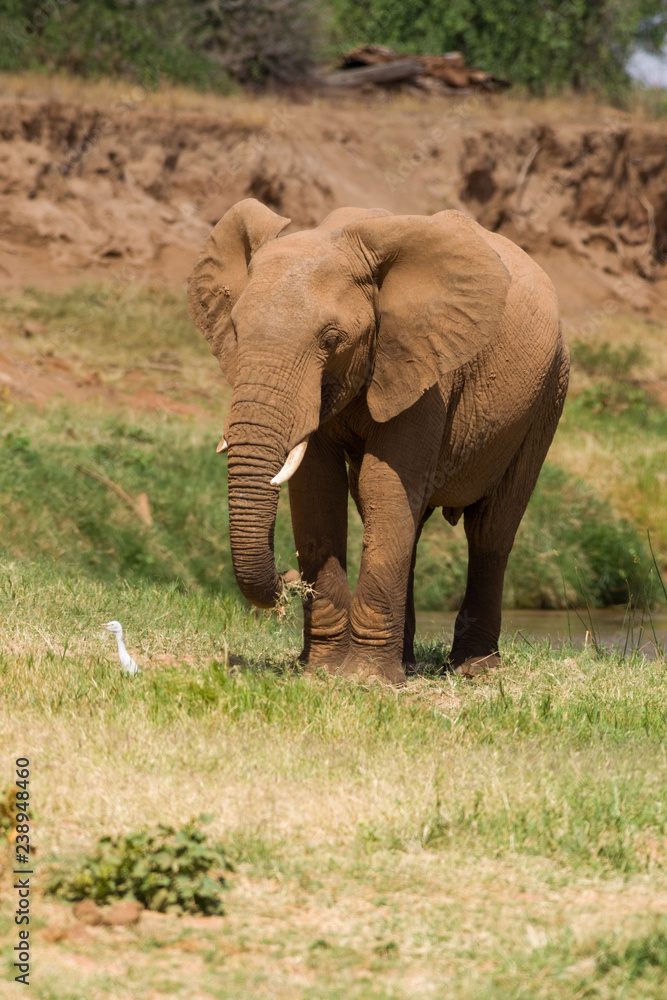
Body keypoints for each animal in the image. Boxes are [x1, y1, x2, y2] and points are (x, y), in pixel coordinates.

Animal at [188, 201, 568, 688]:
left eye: (331, 340)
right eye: (235, 330)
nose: (290, 578)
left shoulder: (425, 370)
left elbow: (382, 484)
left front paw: (366, 678)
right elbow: (318, 490)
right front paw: (324, 670)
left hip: (548, 395)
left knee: (492, 528)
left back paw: (474, 669)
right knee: (412, 519)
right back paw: (407, 662)